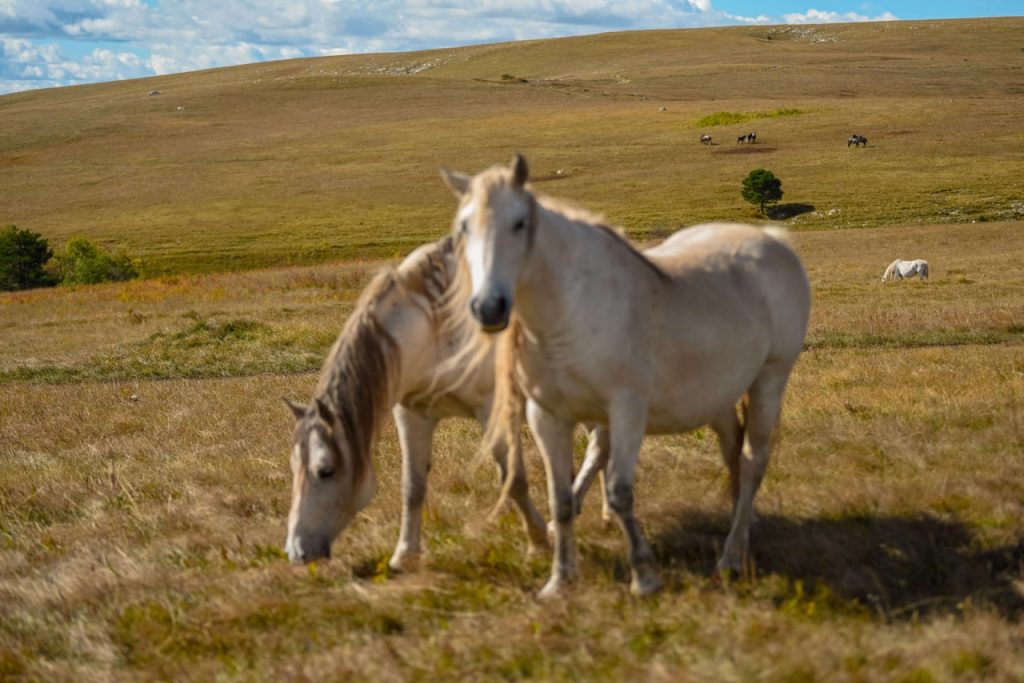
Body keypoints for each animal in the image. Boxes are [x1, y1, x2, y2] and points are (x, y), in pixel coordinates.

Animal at [284, 235, 563, 570]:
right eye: (293, 467)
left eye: (325, 471)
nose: (296, 551)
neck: (437, 329)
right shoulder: (411, 415)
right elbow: (412, 487)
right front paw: (405, 555)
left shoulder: (492, 410)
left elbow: (513, 479)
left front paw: (538, 541)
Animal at [442, 154, 811, 597]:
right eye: (464, 226)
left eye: (519, 223)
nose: (489, 307)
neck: (568, 315)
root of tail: (773, 241)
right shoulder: (548, 417)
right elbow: (559, 498)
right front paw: (560, 580)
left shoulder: (627, 412)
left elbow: (620, 492)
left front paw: (645, 576)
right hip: (719, 397)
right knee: (733, 455)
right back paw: (743, 533)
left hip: (769, 381)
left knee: (753, 460)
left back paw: (730, 558)